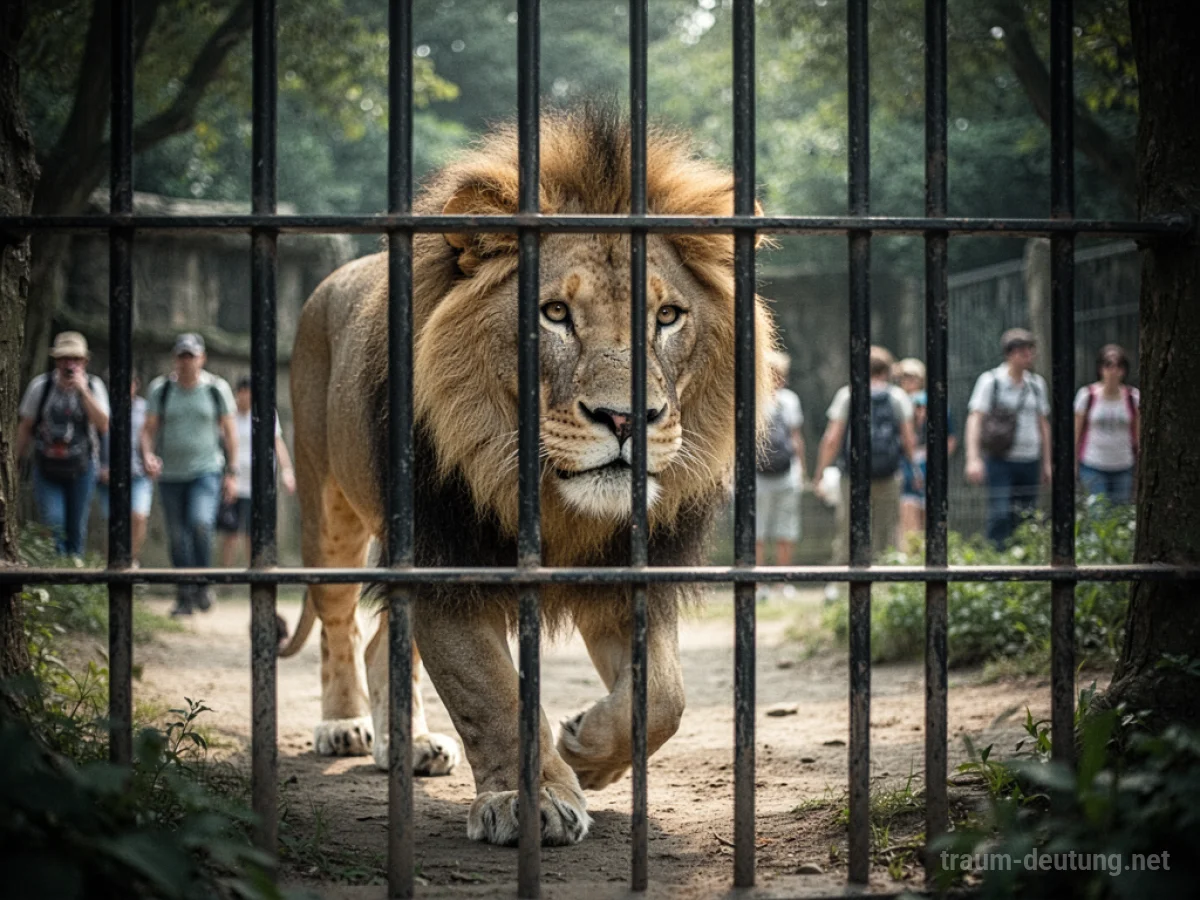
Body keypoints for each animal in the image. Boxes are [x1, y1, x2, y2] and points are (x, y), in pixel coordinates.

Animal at [282, 105, 776, 847]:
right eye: (555, 314)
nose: (626, 419)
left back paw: (409, 744)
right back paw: (345, 724)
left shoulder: (626, 573)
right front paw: (532, 799)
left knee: (380, 643)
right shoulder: (445, 557)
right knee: (339, 622)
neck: (553, 500)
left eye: (667, 316)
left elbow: (663, 696)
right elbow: (492, 693)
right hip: (327, 508)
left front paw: (585, 751)